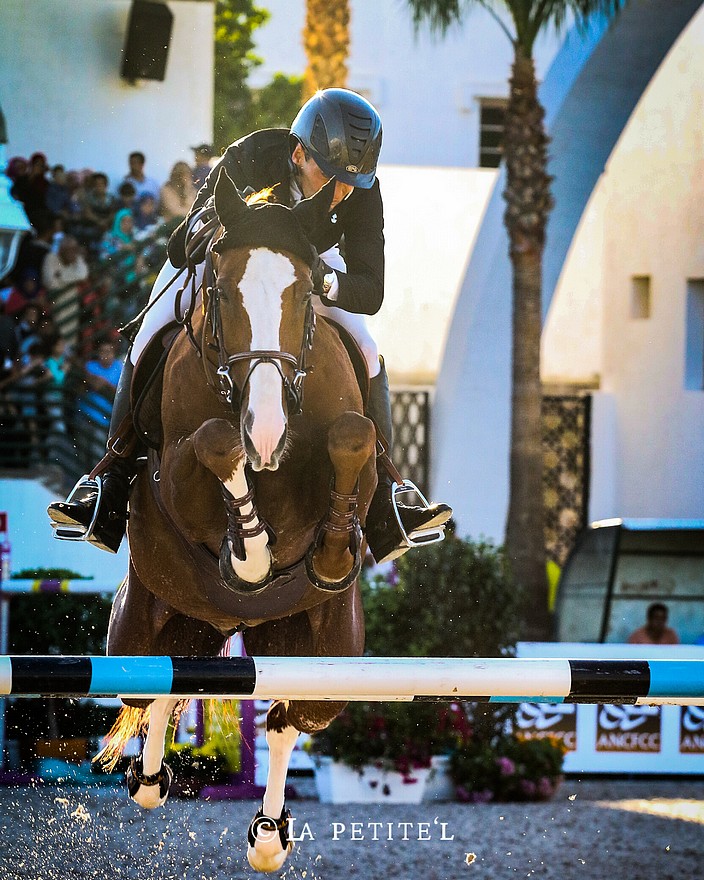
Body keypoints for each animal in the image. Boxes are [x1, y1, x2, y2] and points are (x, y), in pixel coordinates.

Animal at [99, 170, 380, 872]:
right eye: (223, 291)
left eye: (306, 295)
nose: (269, 430)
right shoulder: (176, 473)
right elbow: (216, 441)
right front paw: (248, 550)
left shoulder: (349, 452)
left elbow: (352, 435)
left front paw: (331, 553)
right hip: (142, 628)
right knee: (156, 689)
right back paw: (151, 781)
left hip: (325, 656)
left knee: (287, 718)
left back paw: (270, 837)